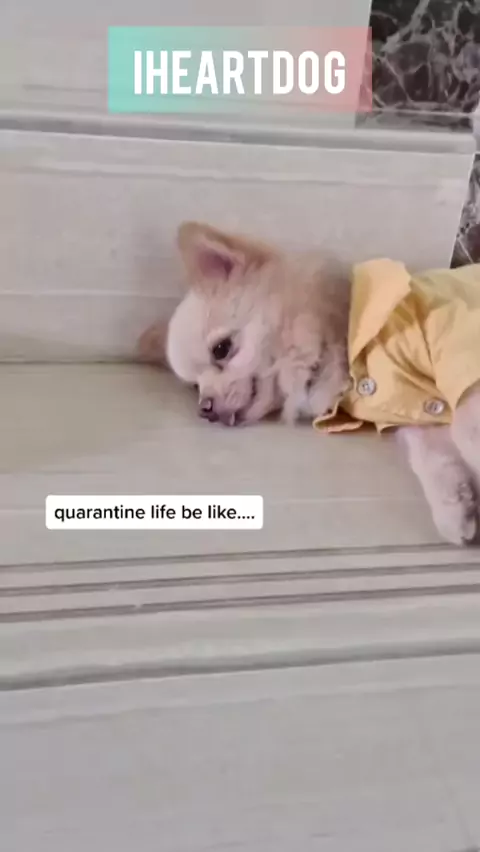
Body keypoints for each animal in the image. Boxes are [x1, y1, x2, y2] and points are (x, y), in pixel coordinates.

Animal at [139, 221, 480, 547]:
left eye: (221, 349)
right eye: (195, 387)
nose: (204, 409)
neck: (344, 336)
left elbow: (466, 431)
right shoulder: (416, 405)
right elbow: (430, 449)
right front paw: (455, 509)